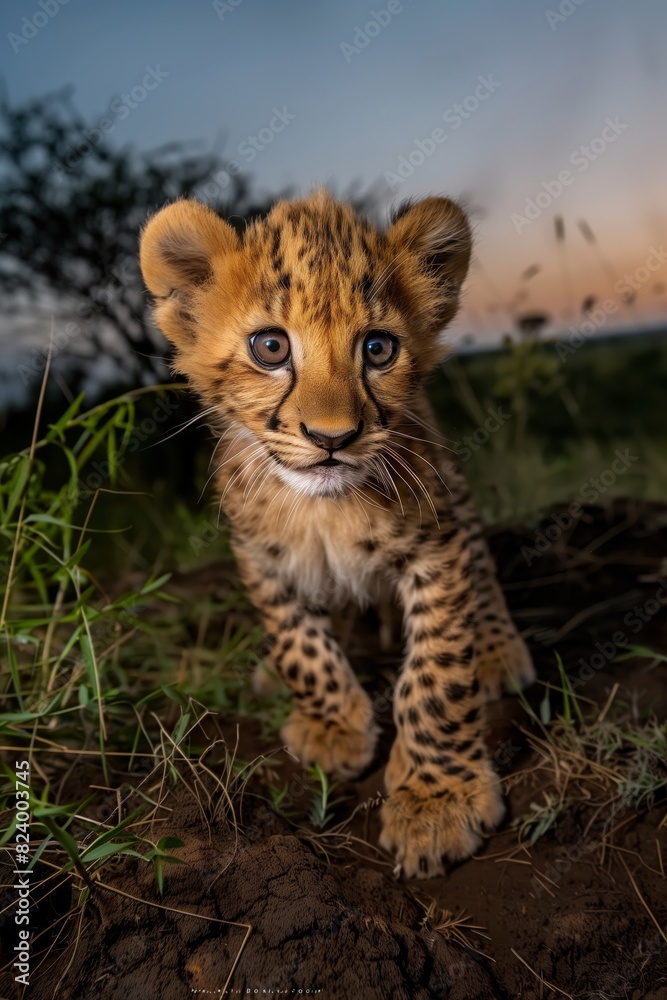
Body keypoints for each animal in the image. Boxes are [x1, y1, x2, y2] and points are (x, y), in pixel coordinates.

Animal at [139, 189, 535, 878]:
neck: (321, 511)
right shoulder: (258, 554)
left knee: (482, 569)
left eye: (378, 349)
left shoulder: (437, 545)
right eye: (271, 347)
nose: (332, 437)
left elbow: (436, 673)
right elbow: (297, 638)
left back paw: (496, 649)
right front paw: (331, 724)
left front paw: (437, 800)